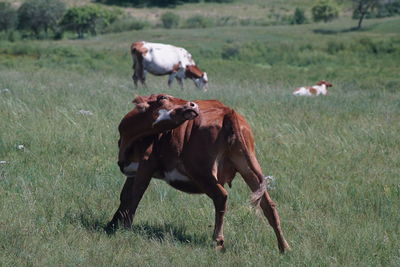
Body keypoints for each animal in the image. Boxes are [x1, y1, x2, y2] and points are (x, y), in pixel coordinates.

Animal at [104, 94, 290, 253]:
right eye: (162, 97)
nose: (192, 105)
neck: (130, 137)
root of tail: (227, 111)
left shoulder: (146, 165)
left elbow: (136, 195)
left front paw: (126, 227)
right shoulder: (133, 172)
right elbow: (125, 196)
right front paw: (112, 224)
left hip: (201, 171)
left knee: (221, 196)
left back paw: (218, 241)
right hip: (247, 166)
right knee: (268, 205)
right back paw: (284, 248)